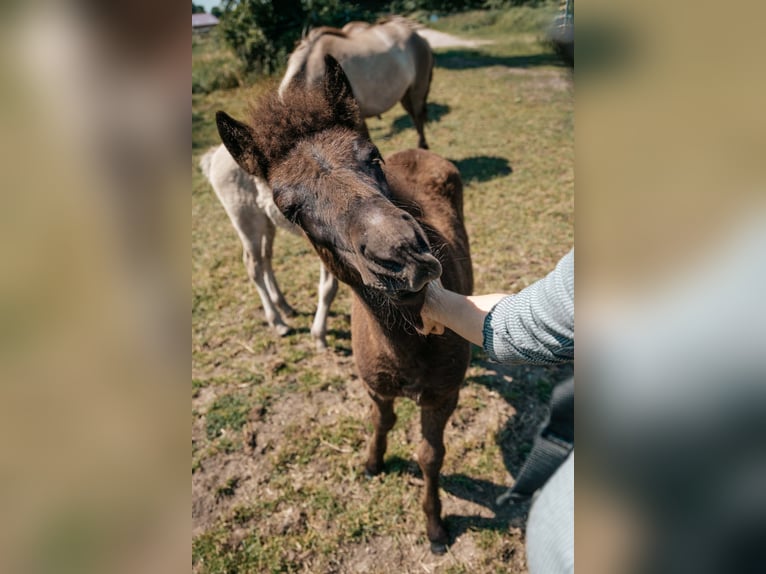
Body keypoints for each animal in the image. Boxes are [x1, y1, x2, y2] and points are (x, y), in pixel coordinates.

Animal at [200, 145, 338, 349]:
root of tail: (215, 155)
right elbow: (329, 288)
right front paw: (319, 337)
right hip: (246, 219)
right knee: (253, 264)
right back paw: (278, 323)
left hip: (267, 221)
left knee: (266, 257)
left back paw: (284, 306)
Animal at [215, 56, 473, 554]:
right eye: (288, 207)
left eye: (373, 158)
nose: (403, 256)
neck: (406, 344)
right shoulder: (374, 384)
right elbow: (381, 421)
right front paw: (372, 464)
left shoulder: (443, 394)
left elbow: (431, 456)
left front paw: (434, 527)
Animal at [280, 16, 434, 149]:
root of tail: (416, 34)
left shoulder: (358, 120)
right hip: (404, 94)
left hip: (417, 90)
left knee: (418, 116)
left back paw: (423, 146)